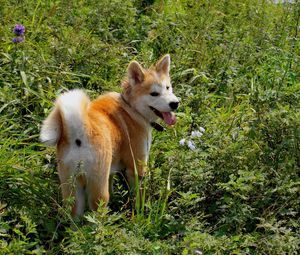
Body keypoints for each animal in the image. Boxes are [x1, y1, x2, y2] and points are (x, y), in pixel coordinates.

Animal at [40, 54, 179, 216]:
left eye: (168, 88)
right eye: (154, 94)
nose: (175, 103)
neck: (130, 108)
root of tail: (78, 132)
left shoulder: (111, 170)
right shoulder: (136, 169)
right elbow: (138, 195)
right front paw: (140, 211)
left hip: (72, 187)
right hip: (98, 188)